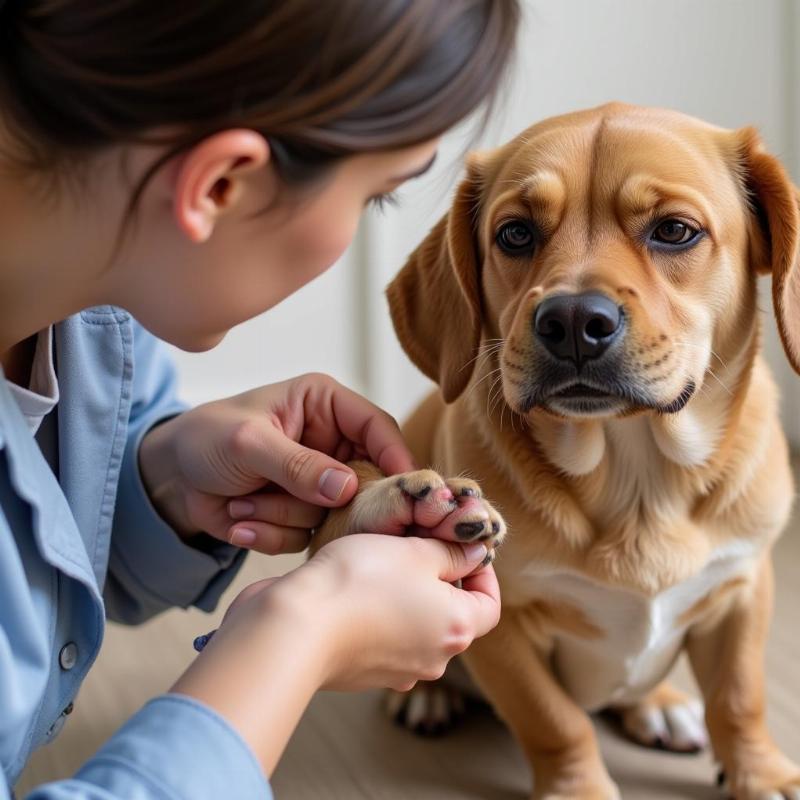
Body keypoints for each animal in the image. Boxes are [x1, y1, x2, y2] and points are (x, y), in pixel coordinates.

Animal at [310, 103, 800, 796]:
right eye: (515, 234)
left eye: (675, 231)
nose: (571, 322)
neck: (638, 477)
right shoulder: (504, 629)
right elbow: (554, 720)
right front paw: (579, 787)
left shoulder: (742, 589)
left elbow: (740, 696)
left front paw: (760, 773)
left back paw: (658, 705)